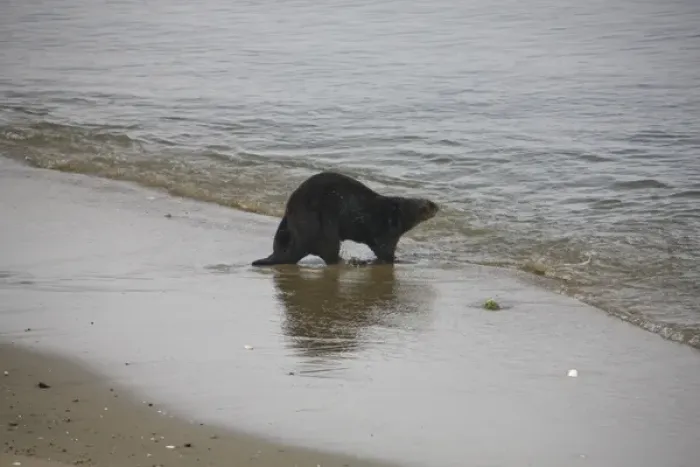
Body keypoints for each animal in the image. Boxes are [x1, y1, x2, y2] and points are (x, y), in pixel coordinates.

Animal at [251, 171, 439, 266]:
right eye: (430, 205)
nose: (438, 207)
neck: (397, 214)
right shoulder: (387, 232)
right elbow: (384, 251)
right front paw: (400, 260)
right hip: (324, 230)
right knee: (330, 255)